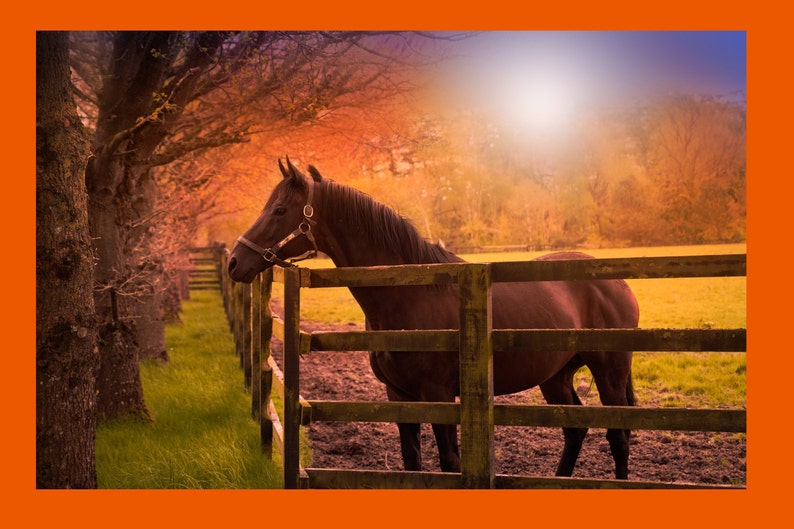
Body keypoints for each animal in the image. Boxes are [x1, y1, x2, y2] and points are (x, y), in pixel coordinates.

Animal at [227, 158, 640, 479]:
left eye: (280, 210)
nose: (234, 261)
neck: (411, 292)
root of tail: (616, 281)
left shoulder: (438, 395)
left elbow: (449, 463)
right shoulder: (399, 396)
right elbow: (413, 463)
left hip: (609, 373)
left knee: (619, 436)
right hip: (556, 375)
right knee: (575, 430)